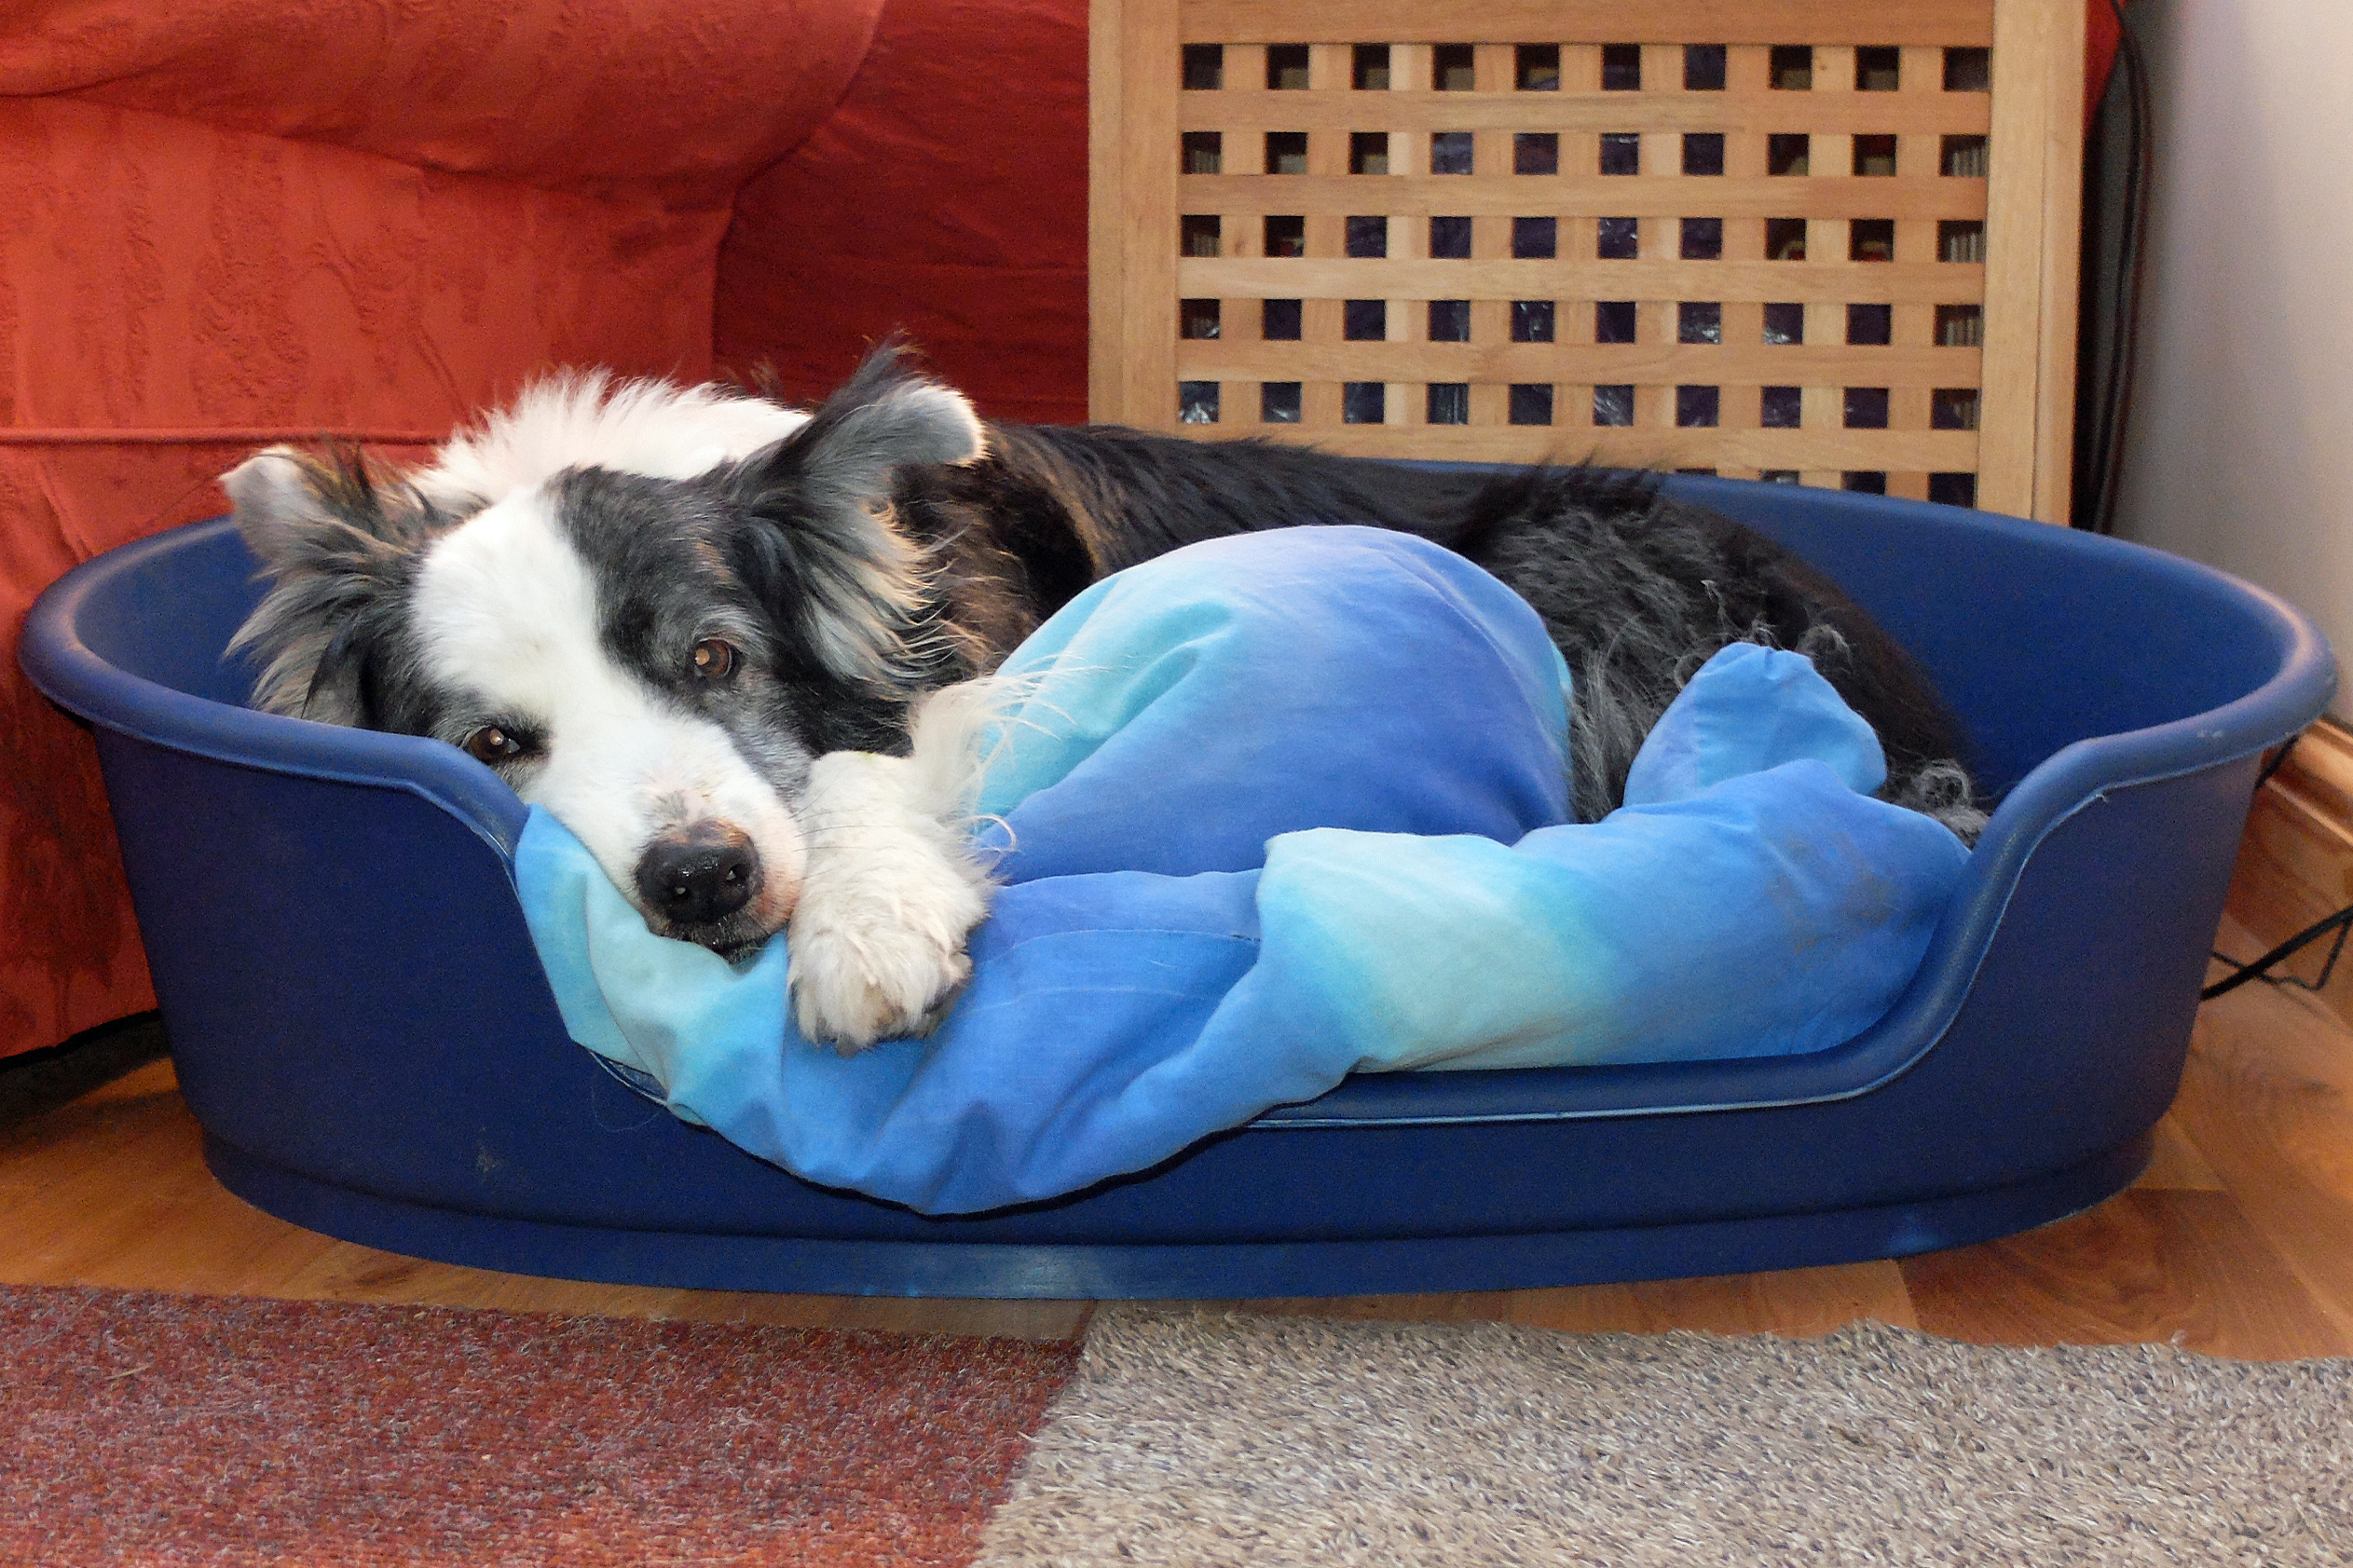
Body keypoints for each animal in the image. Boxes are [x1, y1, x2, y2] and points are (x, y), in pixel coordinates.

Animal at [223, 340, 1981, 1050]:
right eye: (497, 745)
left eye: (714, 658)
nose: (698, 881)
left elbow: (859, 771)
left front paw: (865, 930)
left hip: (1582, 558)